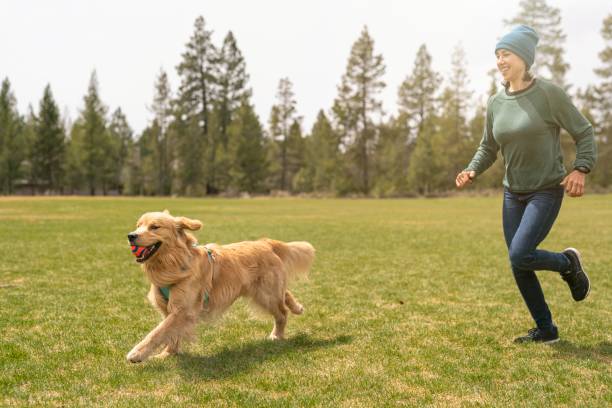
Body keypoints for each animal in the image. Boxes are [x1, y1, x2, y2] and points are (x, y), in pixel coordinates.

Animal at [125, 212, 316, 362]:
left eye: (154, 227)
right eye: (138, 225)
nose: (131, 235)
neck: (174, 263)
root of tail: (265, 242)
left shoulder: (183, 310)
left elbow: (157, 332)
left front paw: (137, 353)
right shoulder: (170, 310)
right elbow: (170, 333)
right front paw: (168, 354)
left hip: (265, 294)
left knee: (282, 313)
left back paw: (277, 335)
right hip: (266, 290)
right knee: (285, 294)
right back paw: (297, 307)